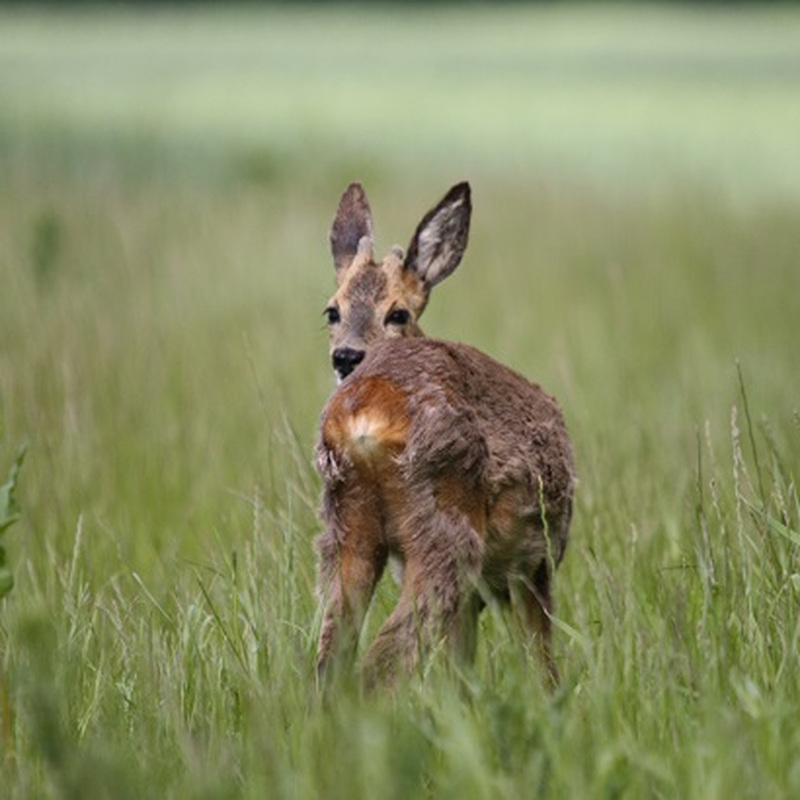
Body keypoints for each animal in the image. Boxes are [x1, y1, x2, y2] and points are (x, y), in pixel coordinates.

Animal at [314, 181, 576, 688]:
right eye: (331, 311)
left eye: (398, 313)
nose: (346, 357)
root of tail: (364, 417)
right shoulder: (535, 563)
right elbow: (540, 659)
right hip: (448, 526)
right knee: (382, 662)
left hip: (346, 529)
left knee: (329, 663)